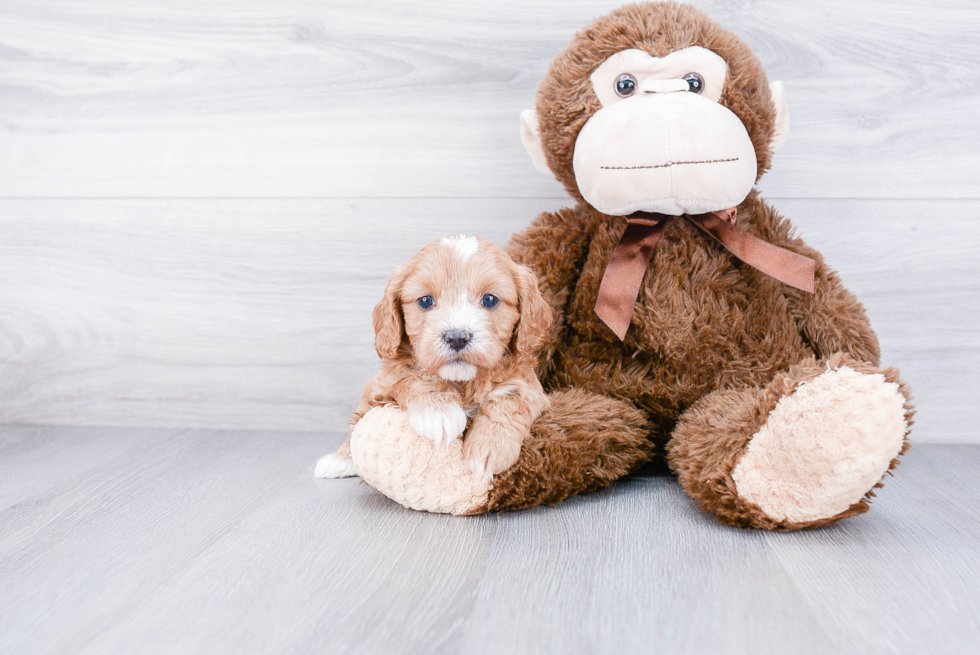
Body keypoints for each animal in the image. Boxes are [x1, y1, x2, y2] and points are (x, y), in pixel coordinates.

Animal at [320, 236, 556, 482]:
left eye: (490, 300)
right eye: (425, 301)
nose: (457, 337)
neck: (463, 382)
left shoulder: (531, 388)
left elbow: (512, 399)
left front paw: (490, 447)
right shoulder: (383, 381)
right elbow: (410, 375)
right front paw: (439, 412)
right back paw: (337, 461)